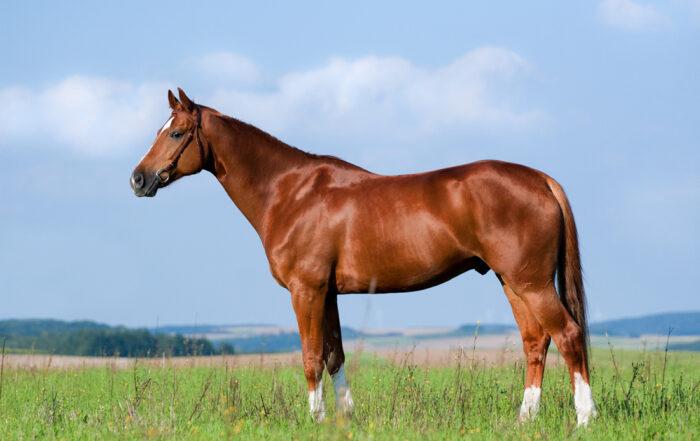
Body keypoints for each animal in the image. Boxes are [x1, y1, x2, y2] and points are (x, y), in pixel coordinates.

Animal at [131, 88, 596, 426]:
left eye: (176, 133)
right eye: (158, 130)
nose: (138, 179)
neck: (289, 192)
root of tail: (541, 179)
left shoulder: (306, 290)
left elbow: (311, 357)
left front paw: (316, 420)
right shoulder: (329, 293)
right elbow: (334, 355)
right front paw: (344, 419)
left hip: (531, 283)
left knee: (568, 335)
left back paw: (584, 419)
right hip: (512, 282)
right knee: (536, 341)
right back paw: (525, 419)